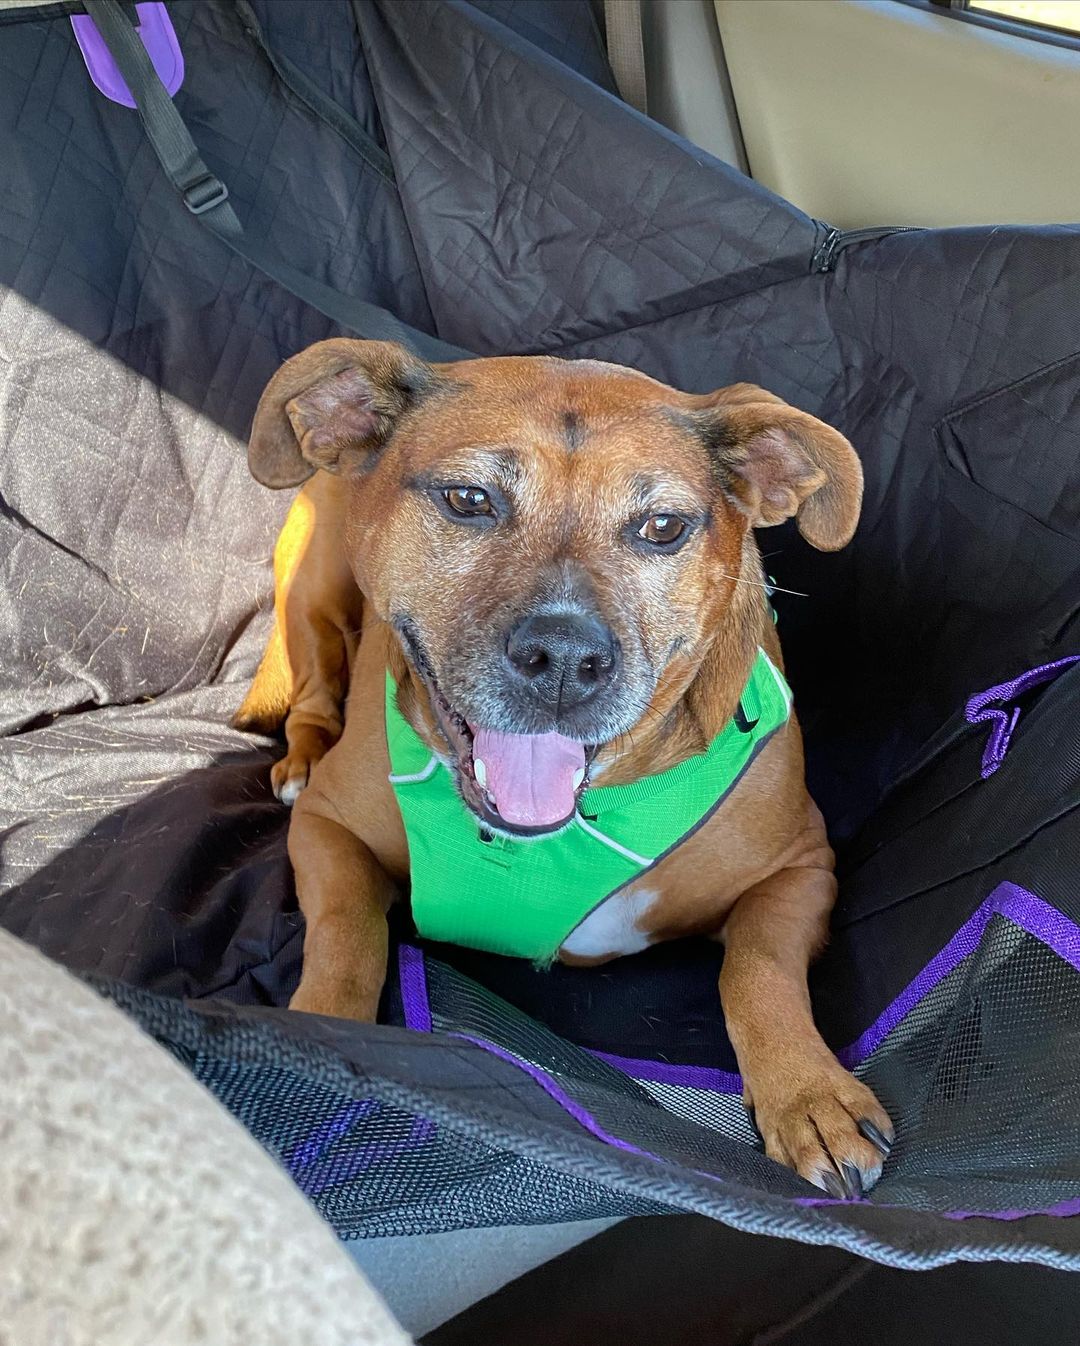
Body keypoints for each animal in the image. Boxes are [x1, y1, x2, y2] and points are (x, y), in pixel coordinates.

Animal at [235, 339, 894, 1200]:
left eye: (662, 526)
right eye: (469, 499)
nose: (564, 659)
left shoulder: (801, 869)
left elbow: (758, 967)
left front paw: (808, 1093)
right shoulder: (328, 829)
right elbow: (347, 933)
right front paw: (324, 1040)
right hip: (316, 578)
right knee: (313, 679)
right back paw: (305, 749)